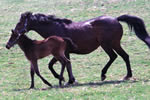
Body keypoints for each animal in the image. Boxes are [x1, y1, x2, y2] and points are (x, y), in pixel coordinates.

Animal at [12, 11, 150, 84]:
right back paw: (125, 75)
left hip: (108, 44)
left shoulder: (60, 52)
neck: (56, 28)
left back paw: (108, 74)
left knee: (116, 56)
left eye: (20, 22)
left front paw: (65, 79)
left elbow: (55, 65)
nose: (15, 32)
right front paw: (69, 79)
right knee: (123, 56)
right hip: (113, 44)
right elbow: (66, 65)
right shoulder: (63, 52)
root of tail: (116, 19)